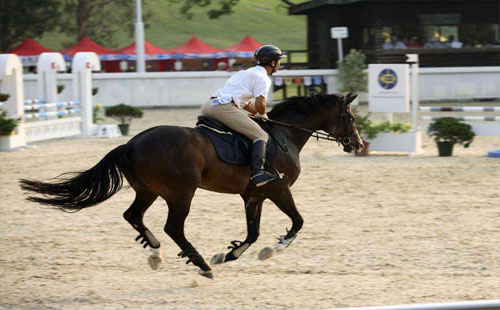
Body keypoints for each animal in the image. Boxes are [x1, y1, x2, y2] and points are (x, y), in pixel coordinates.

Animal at [19, 92, 364, 278]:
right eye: (350, 117)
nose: (358, 145)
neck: (284, 135)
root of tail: (131, 143)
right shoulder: (277, 189)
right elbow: (297, 222)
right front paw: (272, 249)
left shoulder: (254, 196)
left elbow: (253, 232)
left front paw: (230, 255)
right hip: (181, 193)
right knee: (173, 227)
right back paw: (199, 264)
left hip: (149, 190)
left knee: (134, 216)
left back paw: (156, 252)